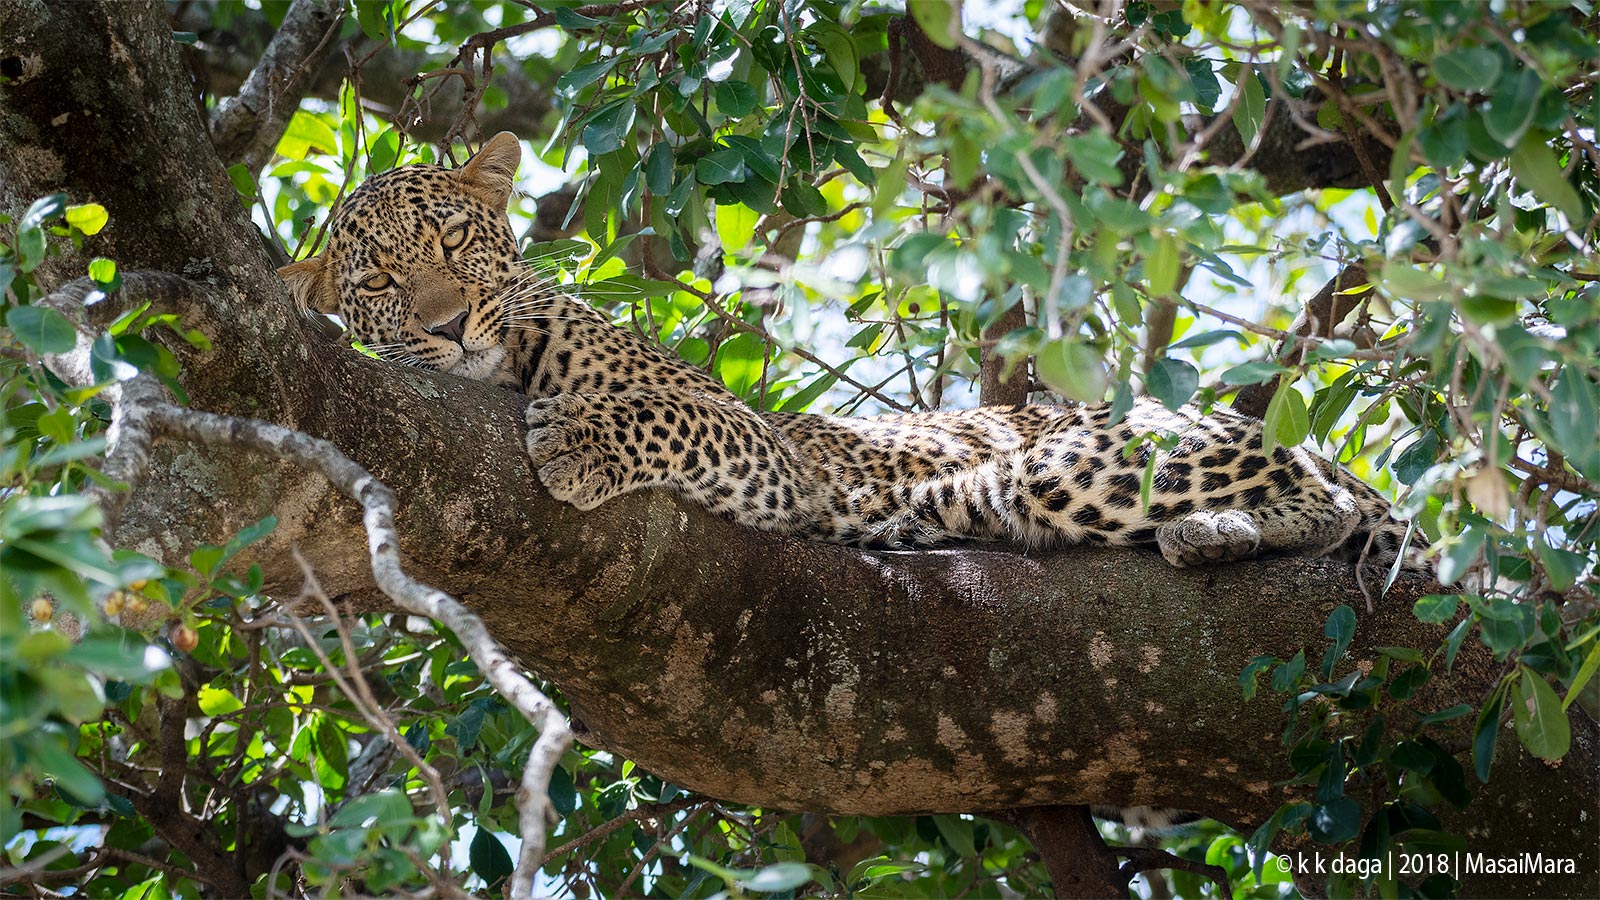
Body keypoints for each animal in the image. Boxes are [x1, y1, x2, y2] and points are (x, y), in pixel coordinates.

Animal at [281, 131, 1433, 573]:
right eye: (380, 286)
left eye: (453, 243)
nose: (446, 326)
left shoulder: (772, 453)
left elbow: (668, 413)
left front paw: (577, 437)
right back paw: (1214, 536)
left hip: (1060, 464)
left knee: (1323, 495)